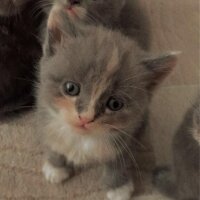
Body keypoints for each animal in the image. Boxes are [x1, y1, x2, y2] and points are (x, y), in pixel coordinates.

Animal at [36, 8, 177, 200]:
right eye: (70, 88)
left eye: (115, 104)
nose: (85, 118)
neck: (82, 138)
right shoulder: (44, 112)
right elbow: (51, 139)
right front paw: (55, 167)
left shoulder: (128, 133)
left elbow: (117, 160)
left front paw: (118, 187)